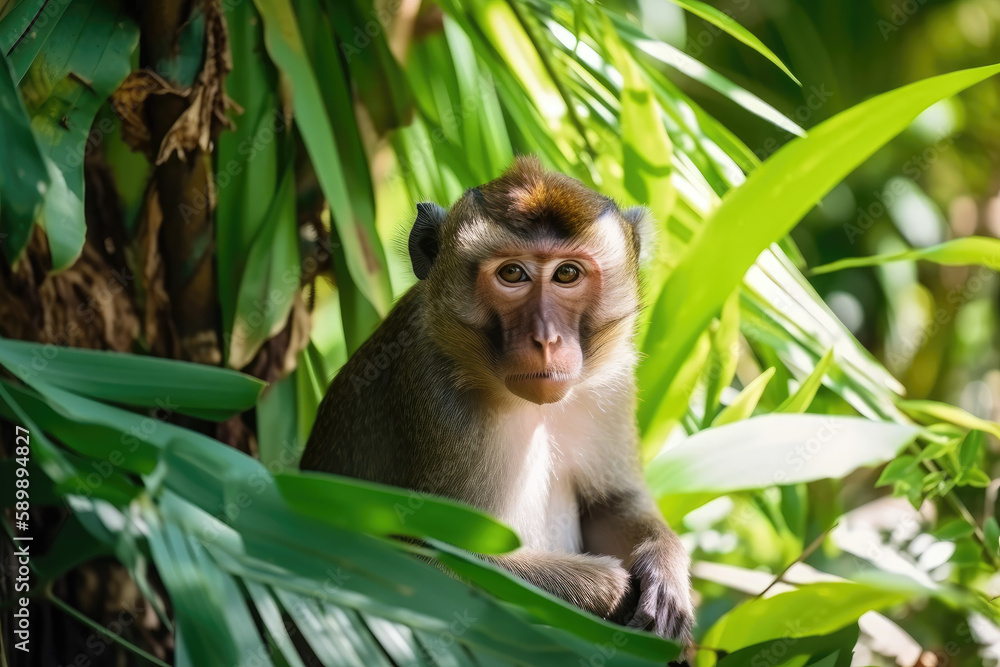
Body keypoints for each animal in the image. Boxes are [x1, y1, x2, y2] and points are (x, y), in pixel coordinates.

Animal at [301, 156, 694, 642]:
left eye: (567, 274)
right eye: (512, 274)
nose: (546, 339)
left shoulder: (611, 383)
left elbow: (613, 502)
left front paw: (665, 566)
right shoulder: (437, 400)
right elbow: (419, 564)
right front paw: (606, 588)